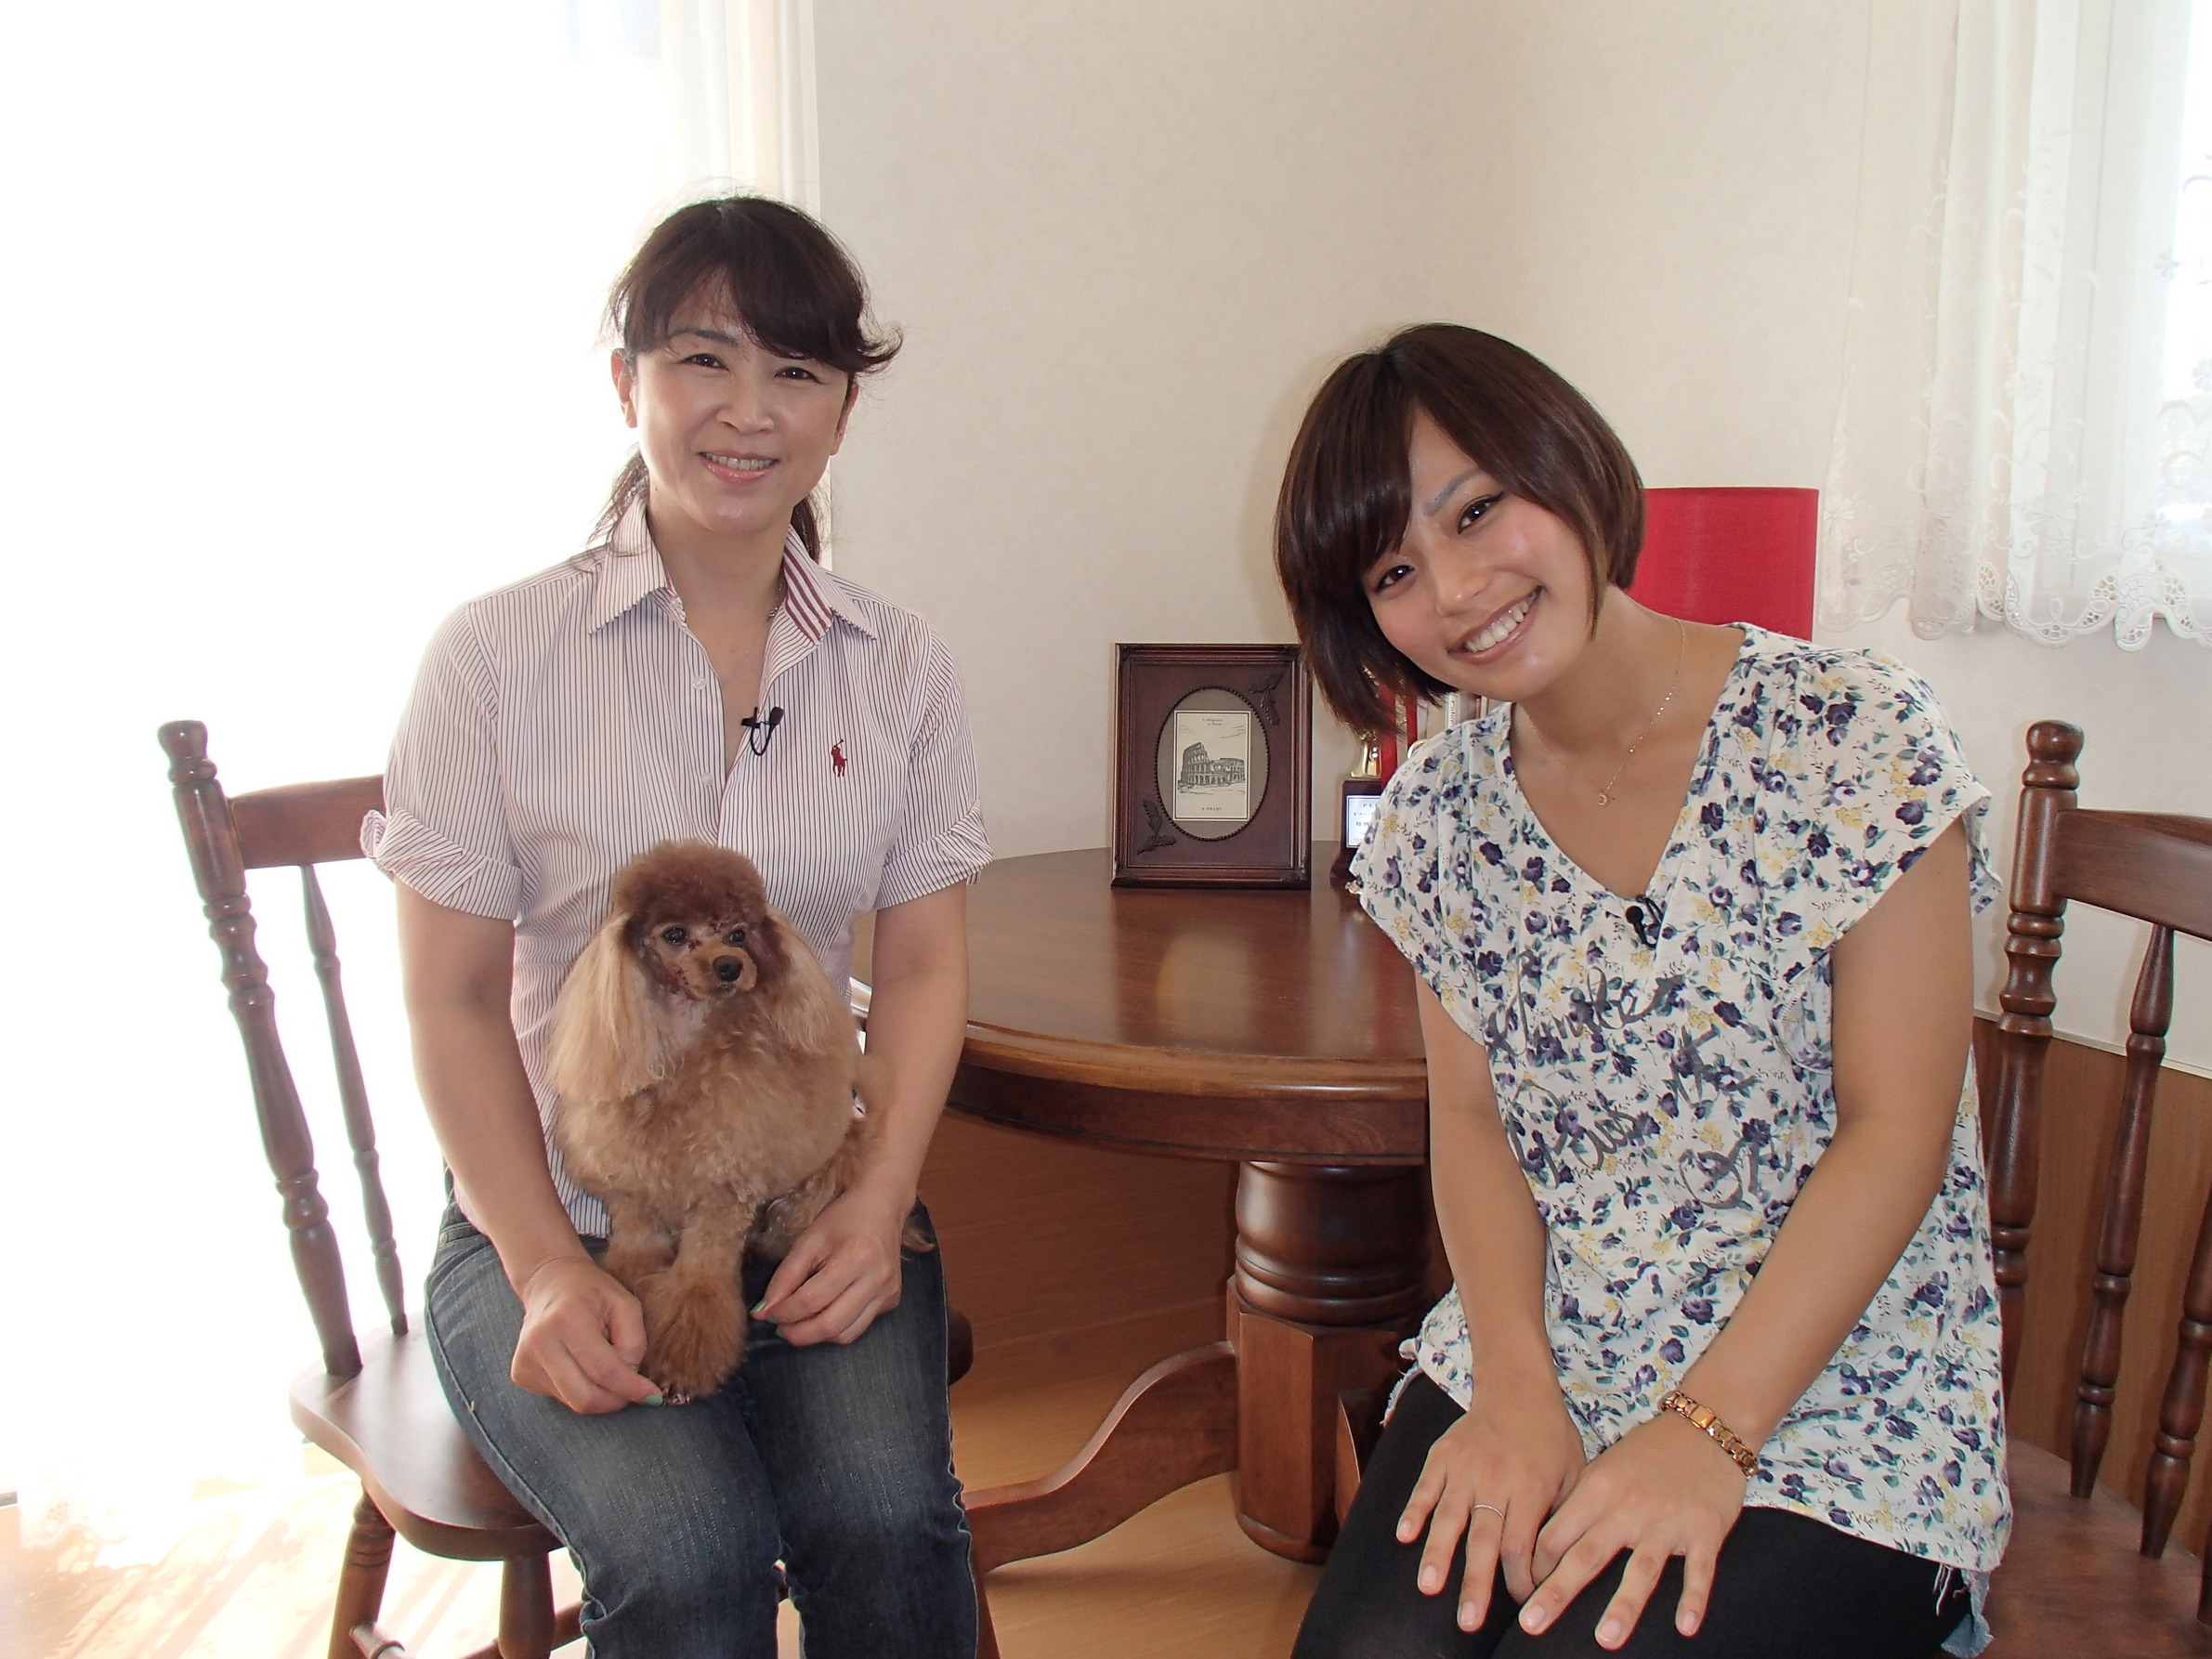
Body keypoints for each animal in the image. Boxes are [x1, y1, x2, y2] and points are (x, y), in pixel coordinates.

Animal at [547, 839, 895, 1403]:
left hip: (807, 1194)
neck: (684, 1057)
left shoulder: (722, 1201)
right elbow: (631, 1268)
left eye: (738, 933)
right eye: (674, 934)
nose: (730, 965)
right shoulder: (632, 1204)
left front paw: (680, 1368)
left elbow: (699, 1291)